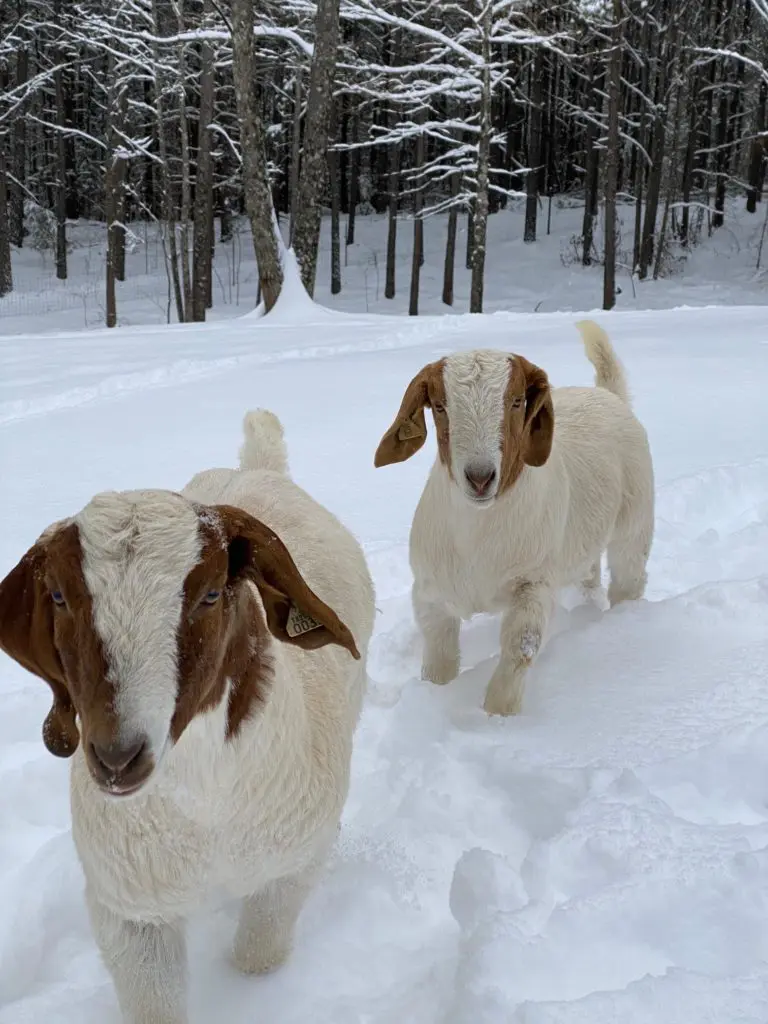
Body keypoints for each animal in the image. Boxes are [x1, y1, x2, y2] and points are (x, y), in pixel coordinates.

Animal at [0, 409, 374, 1024]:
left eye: (212, 594)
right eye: (57, 595)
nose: (117, 757)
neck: (207, 810)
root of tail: (257, 466)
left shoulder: (295, 864)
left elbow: (256, 958)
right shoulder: (129, 911)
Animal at [374, 320, 654, 716]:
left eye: (517, 401)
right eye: (440, 406)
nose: (479, 477)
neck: (478, 533)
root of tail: (607, 394)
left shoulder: (534, 583)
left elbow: (521, 646)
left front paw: (497, 717)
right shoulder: (430, 592)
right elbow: (439, 653)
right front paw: (435, 695)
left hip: (634, 523)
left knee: (629, 577)